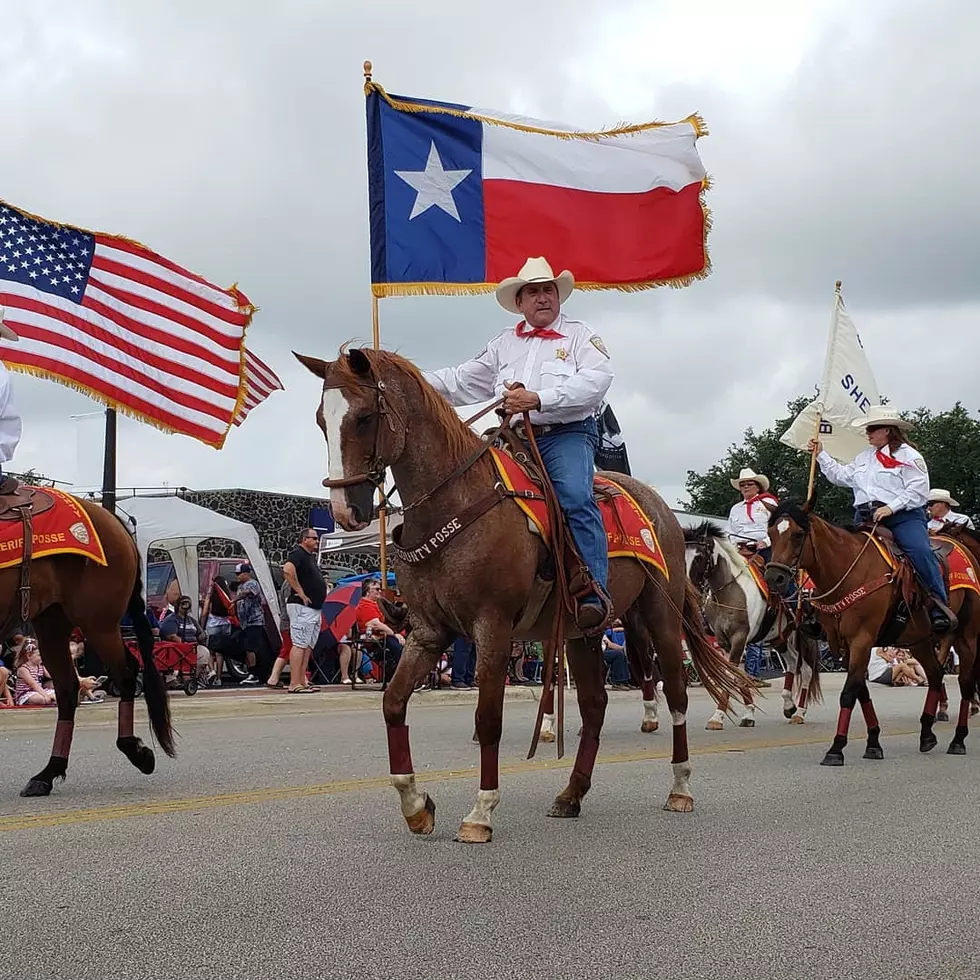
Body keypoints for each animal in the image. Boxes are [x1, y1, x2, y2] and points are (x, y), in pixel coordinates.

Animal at [1, 494, 175, 800]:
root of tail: (112, 520)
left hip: (97, 623)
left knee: (126, 672)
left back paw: (134, 749)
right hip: (53, 623)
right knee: (68, 688)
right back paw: (48, 773)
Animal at [294, 346, 756, 844]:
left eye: (363, 418)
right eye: (321, 419)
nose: (345, 511)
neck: (457, 500)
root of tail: (663, 511)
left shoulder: (492, 627)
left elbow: (487, 720)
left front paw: (480, 812)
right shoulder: (429, 631)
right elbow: (393, 703)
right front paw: (416, 806)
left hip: (661, 618)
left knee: (676, 695)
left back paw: (680, 787)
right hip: (582, 632)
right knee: (595, 706)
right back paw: (572, 793)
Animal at [684, 520, 824, 728]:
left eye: (699, 557)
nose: (689, 591)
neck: (731, 590)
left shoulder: (739, 638)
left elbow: (733, 675)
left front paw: (718, 717)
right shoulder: (724, 642)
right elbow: (736, 676)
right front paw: (749, 713)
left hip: (803, 635)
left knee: (806, 670)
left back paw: (799, 712)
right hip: (780, 637)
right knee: (792, 662)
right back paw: (788, 706)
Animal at [768, 498, 976, 764]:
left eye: (797, 534)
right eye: (771, 534)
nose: (774, 578)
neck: (847, 571)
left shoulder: (862, 640)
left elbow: (849, 692)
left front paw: (836, 748)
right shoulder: (845, 645)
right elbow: (861, 691)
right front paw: (874, 742)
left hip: (967, 635)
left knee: (965, 682)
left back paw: (958, 739)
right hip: (918, 641)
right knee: (936, 674)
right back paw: (927, 734)